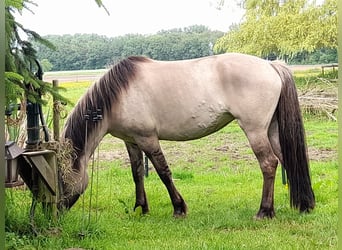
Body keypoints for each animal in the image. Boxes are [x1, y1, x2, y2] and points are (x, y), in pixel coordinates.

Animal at [60, 53, 316, 219]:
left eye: (60, 178)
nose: (56, 212)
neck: (119, 94)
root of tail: (271, 65)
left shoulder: (148, 139)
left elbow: (163, 172)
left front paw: (179, 208)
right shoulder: (131, 141)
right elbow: (137, 174)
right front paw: (141, 208)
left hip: (254, 130)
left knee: (269, 163)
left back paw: (264, 211)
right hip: (271, 129)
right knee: (287, 159)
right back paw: (305, 204)